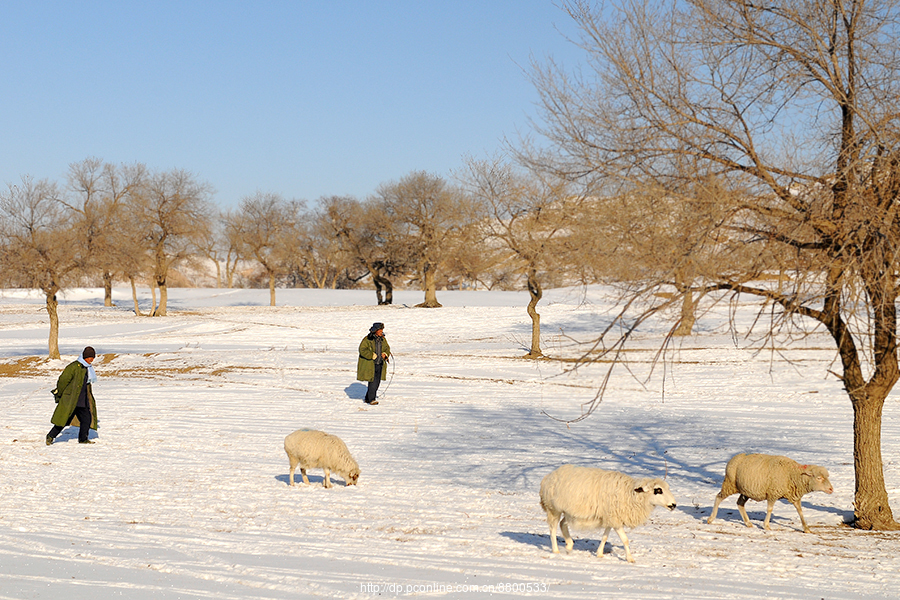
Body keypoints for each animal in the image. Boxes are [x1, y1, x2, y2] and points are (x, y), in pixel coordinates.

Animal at [536, 464, 676, 564]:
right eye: (658, 490)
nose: (674, 505)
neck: (630, 494)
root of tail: (548, 476)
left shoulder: (611, 517)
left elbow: (605, 536)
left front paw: (599, 553)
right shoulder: (614, 518)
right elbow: (625, 540)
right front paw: (630, 559)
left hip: (569, 512)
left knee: (562, 524)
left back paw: (569, 545)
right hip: (553, 509)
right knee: (553, 528)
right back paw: (556, 550)